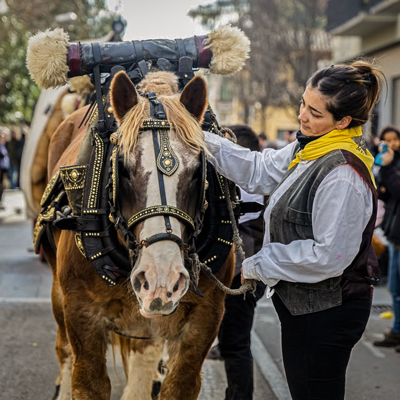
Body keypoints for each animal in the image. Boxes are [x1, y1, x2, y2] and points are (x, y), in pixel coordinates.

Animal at [44, 70, 236, 398]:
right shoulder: (81, 315)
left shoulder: (205, 318)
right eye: (122, 168)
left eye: (198, 171)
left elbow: (177, 383)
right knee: (63, 349)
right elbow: (88, 383)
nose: (161, 279)